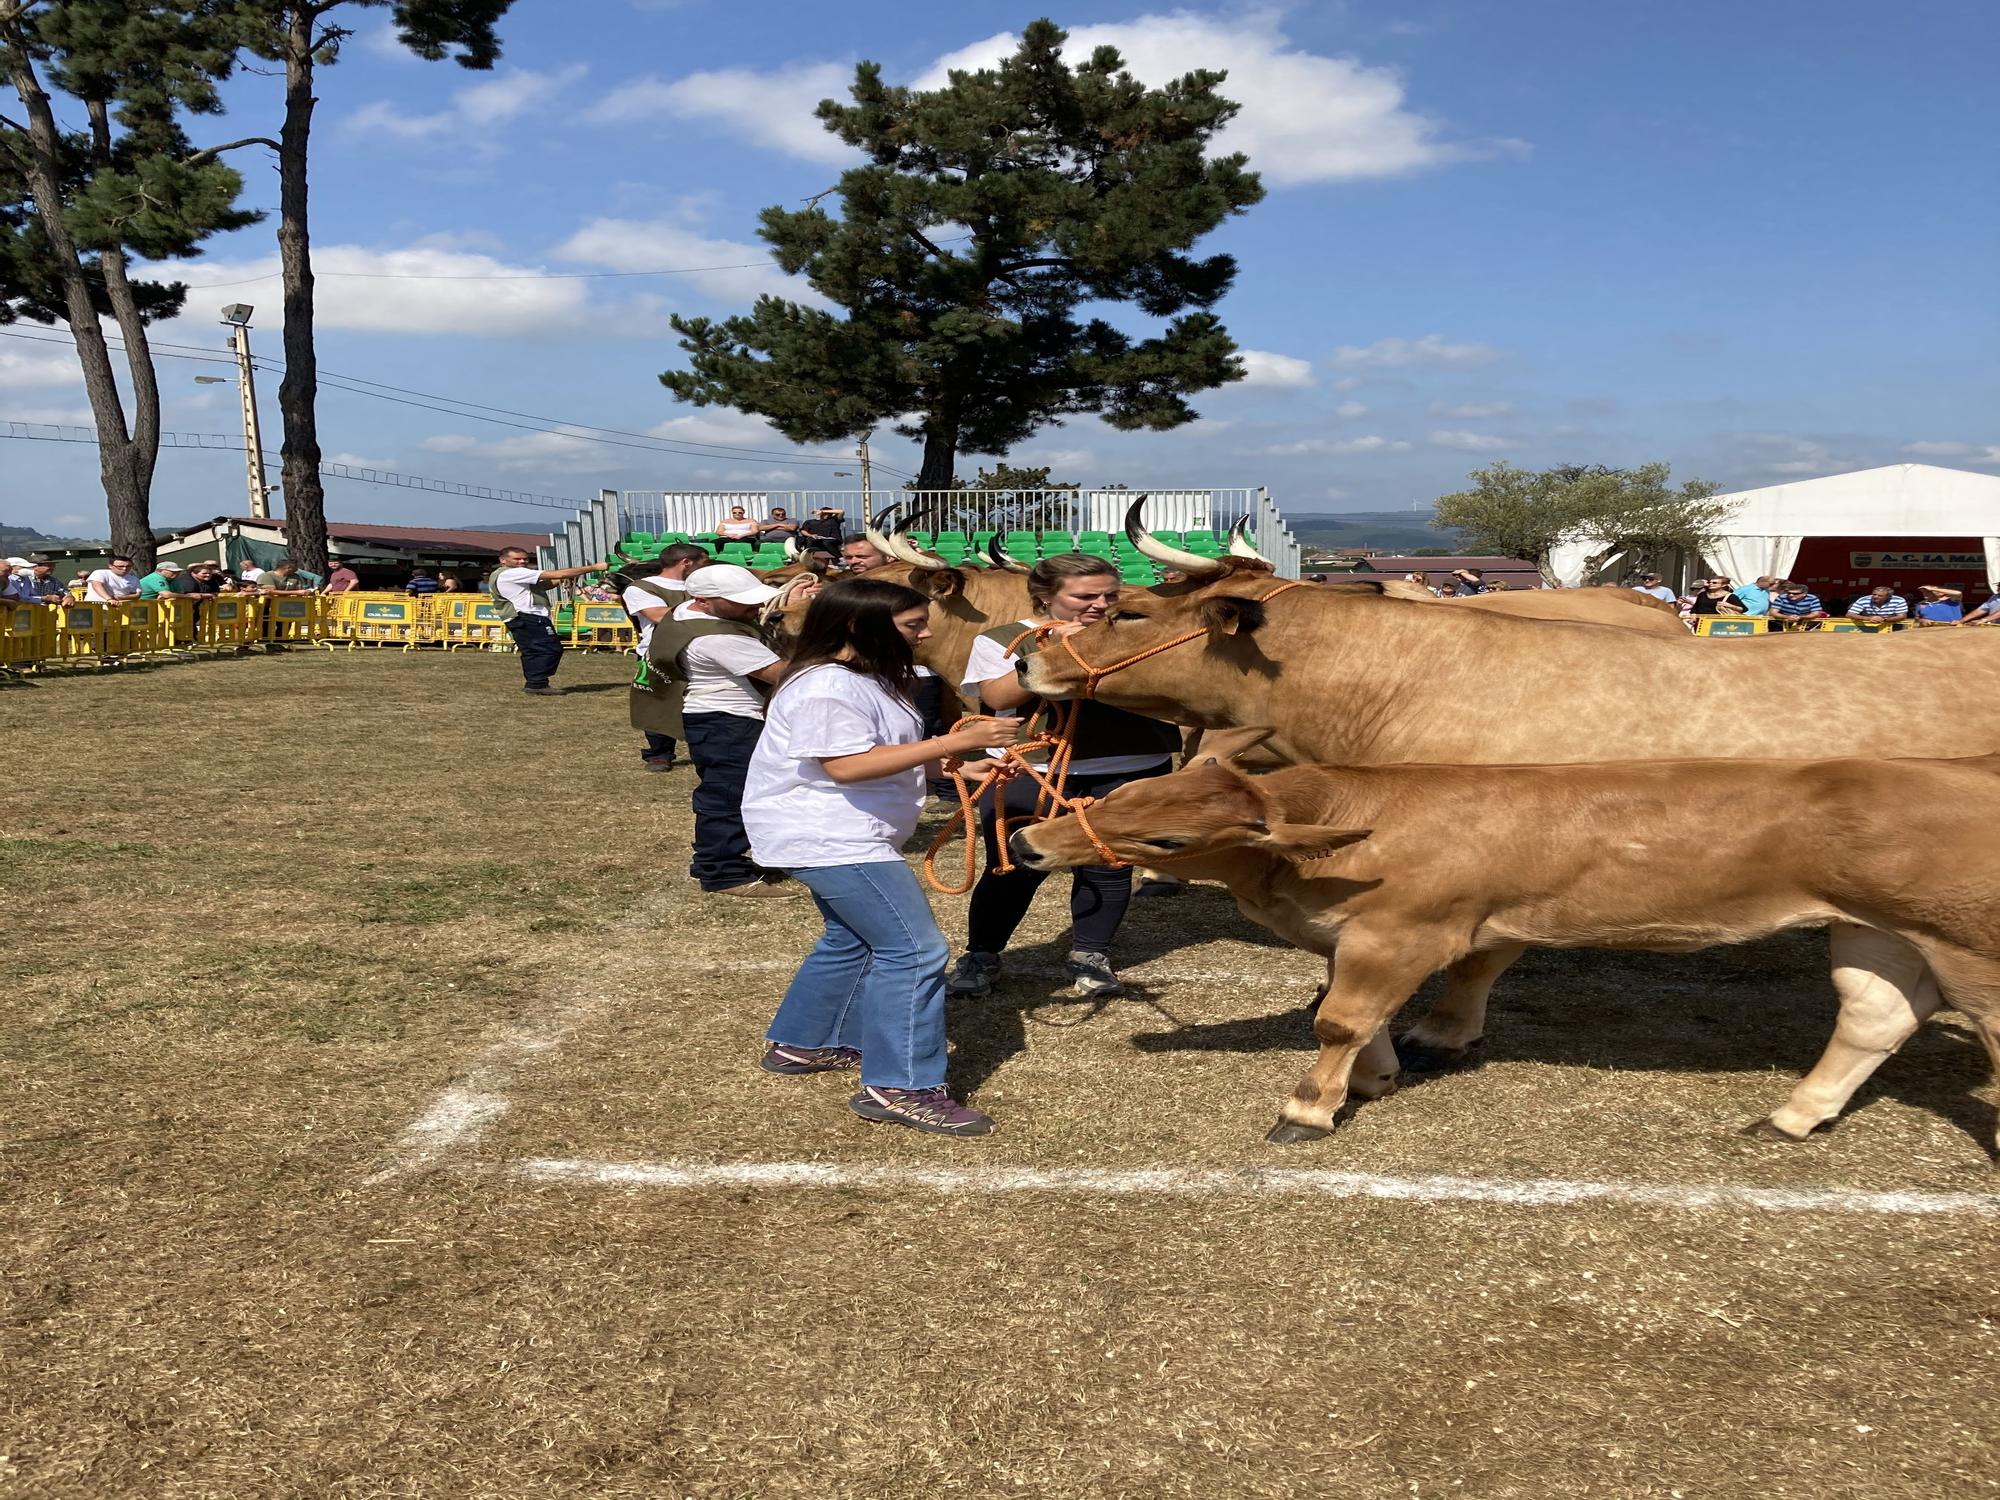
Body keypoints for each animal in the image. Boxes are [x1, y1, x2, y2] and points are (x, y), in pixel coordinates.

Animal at [1016, 748, 2000, 1160]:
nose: (1026, 841)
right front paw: (1375, 1079)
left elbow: (1338, 1018)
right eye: (1126, 793)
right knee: (1873, 1016)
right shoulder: (1370, 938)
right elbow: (1361, 1016)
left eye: (1172, 840)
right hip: (1878, 930)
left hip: (1970, 946)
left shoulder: (1404, 930)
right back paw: (1792, 1117)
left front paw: (1308, 1109)